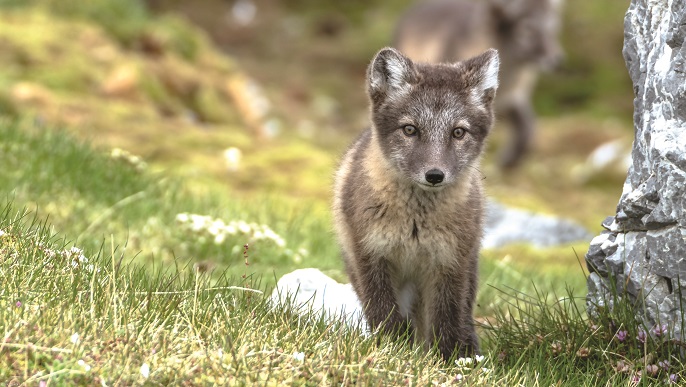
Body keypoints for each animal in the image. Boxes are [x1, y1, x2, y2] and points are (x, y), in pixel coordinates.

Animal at [334, 46, 500, 360]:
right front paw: (390, 350)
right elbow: (384, 313)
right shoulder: (372, 255)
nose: (434, 175)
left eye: (458, 132)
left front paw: (447, 361)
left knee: (461, 318)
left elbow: (447, 321)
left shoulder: (449, 264)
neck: (415, 224)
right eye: (410, 129)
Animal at [396, 0, 568, 170]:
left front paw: (507, 162)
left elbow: (528, 127)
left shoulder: (512, 99)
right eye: (527, 28)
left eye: (553, 27)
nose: (557, 60)